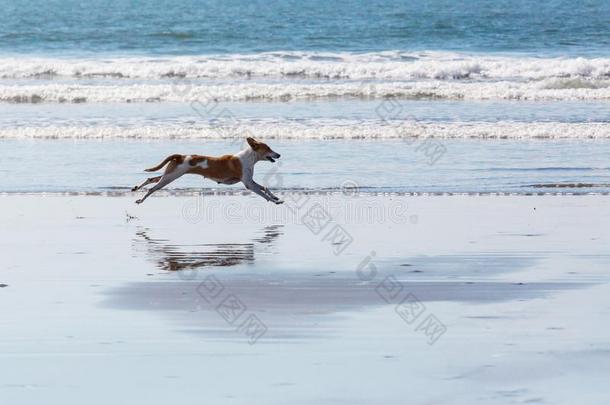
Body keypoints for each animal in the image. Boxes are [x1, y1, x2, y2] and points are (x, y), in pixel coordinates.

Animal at [131, 137, 282, 204]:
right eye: (268, 148)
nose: (279, 154)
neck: (248, 158)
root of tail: (180, 156)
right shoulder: (248, 184)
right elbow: (262, 193)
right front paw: (274, 200)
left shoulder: (250, 181)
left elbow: (265, 188)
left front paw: (275, 196)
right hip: (170, 177)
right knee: (152, 188)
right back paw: (141, 199)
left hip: (169, 174)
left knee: (151, 179)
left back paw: (136, 188)